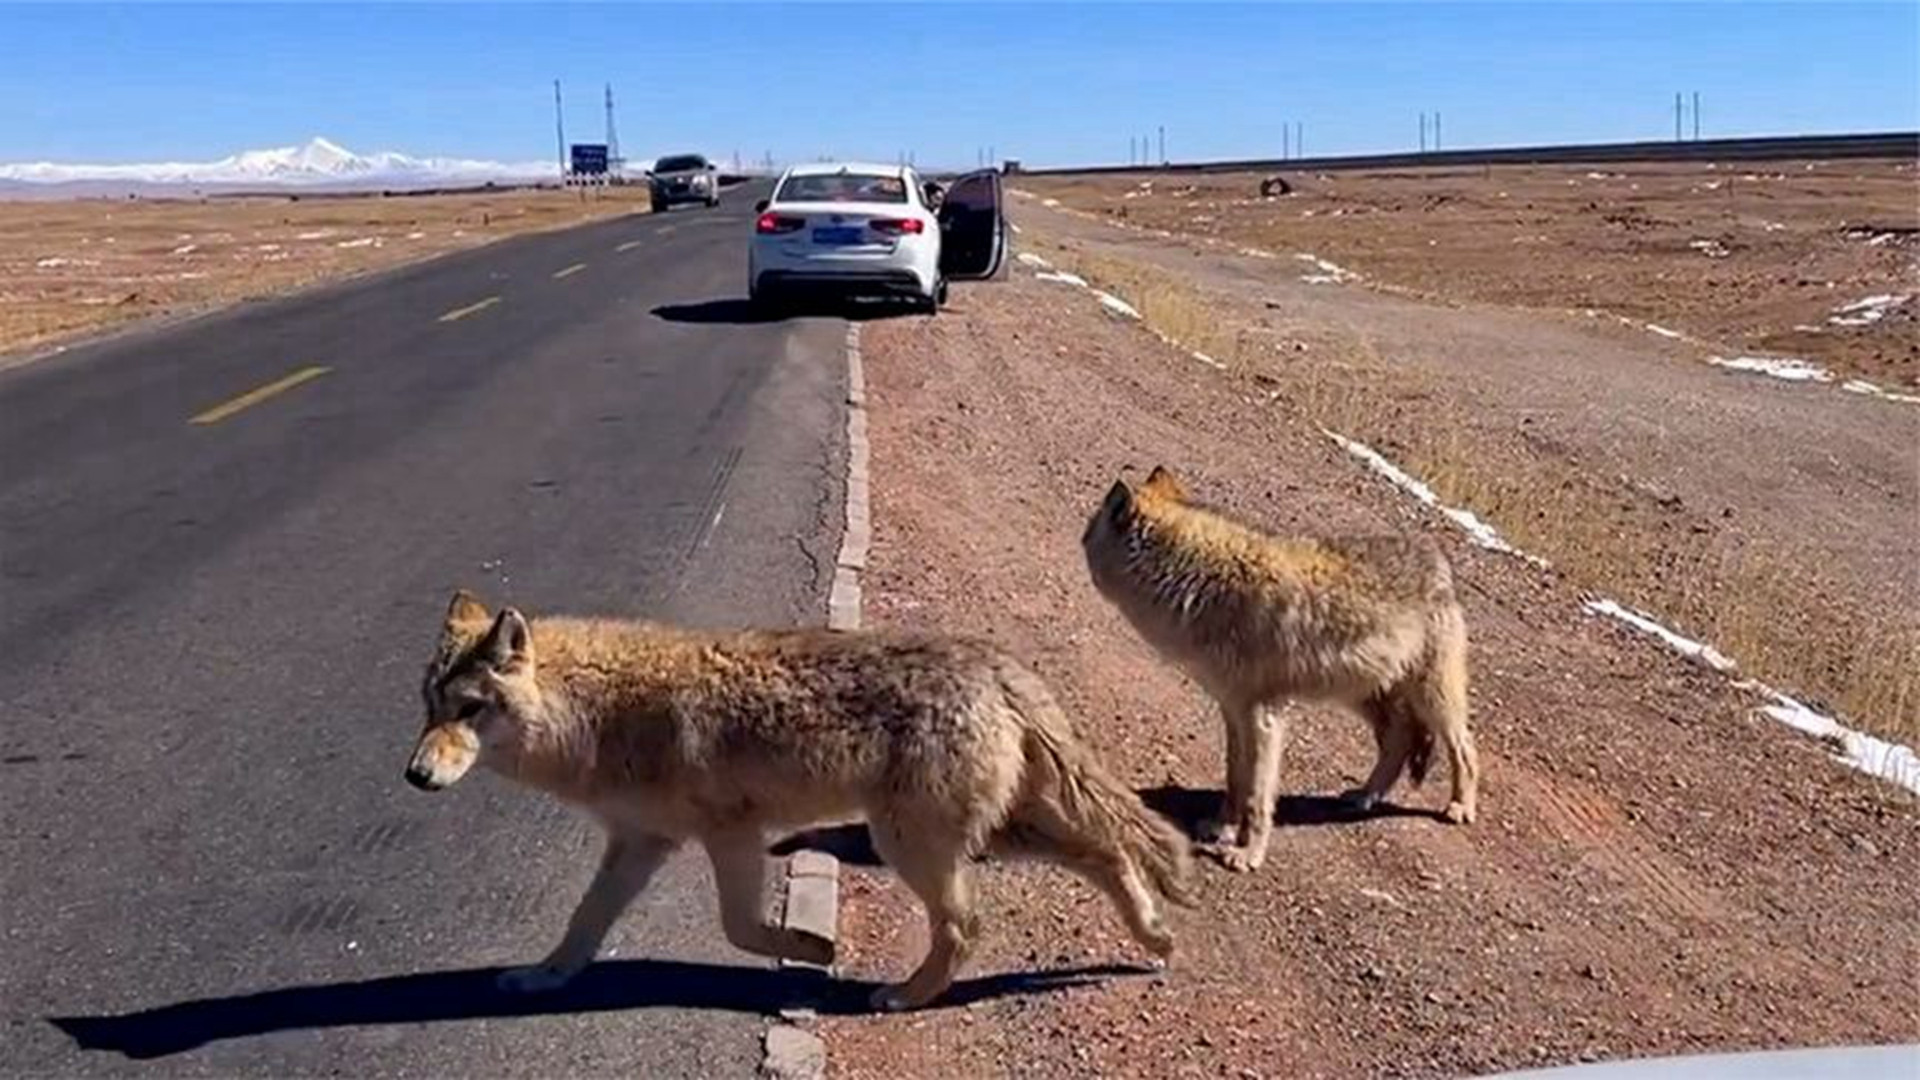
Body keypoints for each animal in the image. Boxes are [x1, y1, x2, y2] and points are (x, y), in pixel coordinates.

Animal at [403, 588, 1182, 1006]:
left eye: (469, 710)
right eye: (429, 706)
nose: (414, 776)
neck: (596, 714)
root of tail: (992, 662)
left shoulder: (731, 836)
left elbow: (739, 929)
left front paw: (810, 945)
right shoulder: (640, 843)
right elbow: (583, 923)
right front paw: (546, 977)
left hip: (910, 843)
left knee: (968, 926)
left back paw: (904, 995)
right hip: (983, 833)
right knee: (1110, 852)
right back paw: (1153, 936)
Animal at [1082, 463, 1482, 864]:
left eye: (1088, 530)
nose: (1080, 539)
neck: (1205, 581)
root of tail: (1438, 560)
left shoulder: (1265, 716)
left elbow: (1258, 796)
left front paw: (1248, 854)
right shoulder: (1232, 710)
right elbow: (1236, 780)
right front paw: (1223, 828)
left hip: (1432, 701)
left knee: (1465, 749)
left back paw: (1461, 807)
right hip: (1365, 698)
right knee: (1398, 740)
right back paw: (1365, 795)